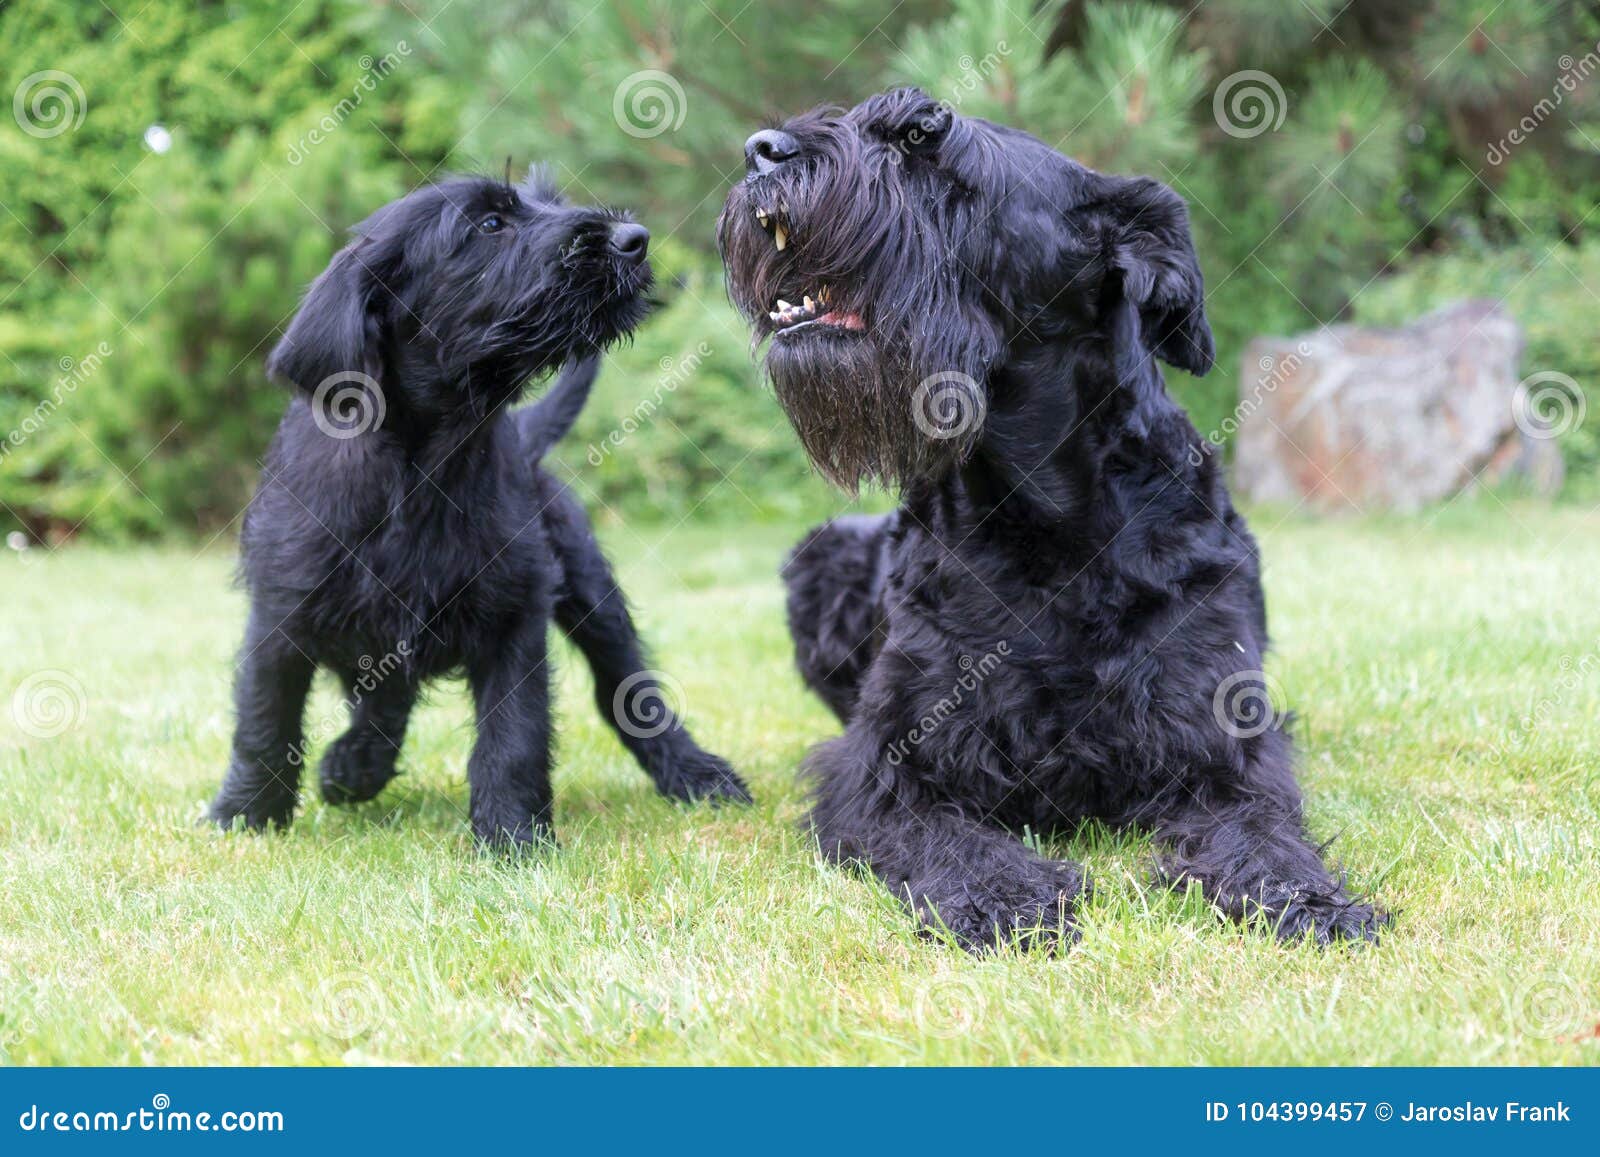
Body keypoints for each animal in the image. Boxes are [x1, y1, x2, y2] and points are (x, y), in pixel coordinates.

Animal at [211, 172, 748, 844]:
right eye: (490, 224)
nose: (634, 239)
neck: (426, 466)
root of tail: (526, 435)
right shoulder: (280, 612)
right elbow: (265, 718)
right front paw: (244, 815)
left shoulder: (513, 615)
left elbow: (513, 735)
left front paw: (514, 837)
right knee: (384, 697)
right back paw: (355, 764)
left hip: (592, 594)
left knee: (628, 691)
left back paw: (695, 773)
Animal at [720, 90, 1382, 953]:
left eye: (924, 138)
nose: (760, 150)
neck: (1043, 517)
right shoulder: (882, 762)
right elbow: (947, 833)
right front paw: (1003, 893)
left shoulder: (1223, 739)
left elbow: (1260, 824)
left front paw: (1308, 896)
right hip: (820, 554)